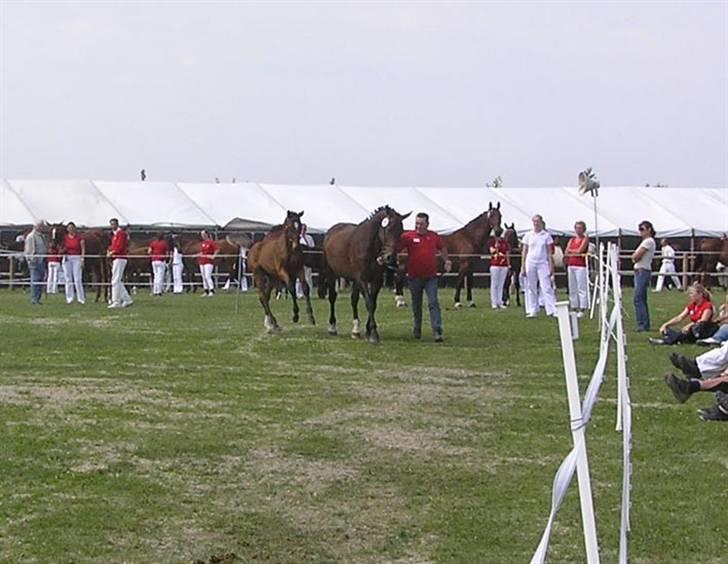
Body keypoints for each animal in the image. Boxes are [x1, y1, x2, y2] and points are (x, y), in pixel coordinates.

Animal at [322, 204, 410, 344]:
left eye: (401, 231)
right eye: (388, 229)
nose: (390, 258)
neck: (370, 246)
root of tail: (331, 231)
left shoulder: (376, 280)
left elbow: (373, 303)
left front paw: (369, 331)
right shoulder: (362, 279)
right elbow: (369, 303)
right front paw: (373, 334)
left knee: (354, 300)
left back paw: (355, 330)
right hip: (331, 273)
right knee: (332, 297)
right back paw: (332, 327)